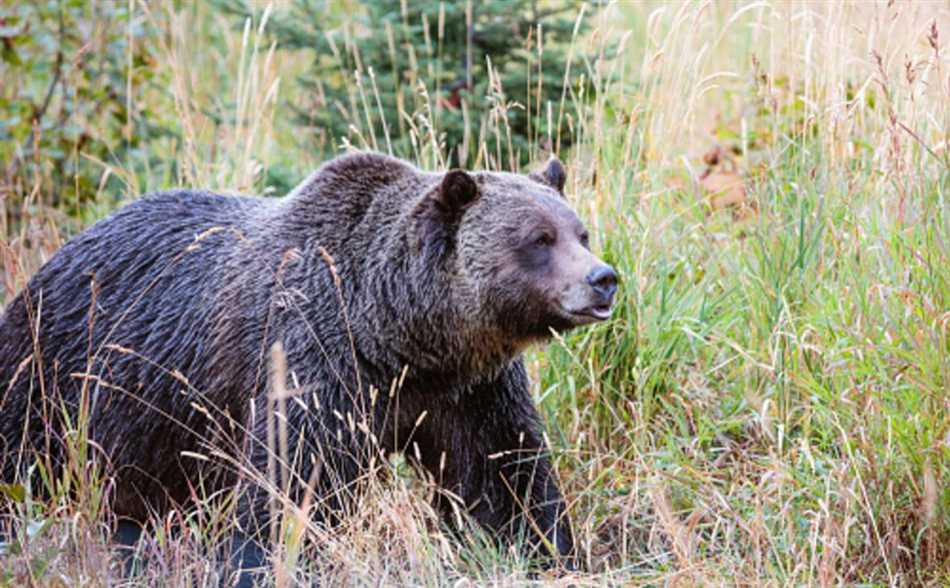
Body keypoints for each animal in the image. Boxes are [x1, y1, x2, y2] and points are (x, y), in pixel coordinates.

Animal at [0, 152, 616, 576]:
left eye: (580, 231)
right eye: (539, 238)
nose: (603, 278)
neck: (397, 336)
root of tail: (62, 249)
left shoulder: (468, 388)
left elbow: (502, 471)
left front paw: (545, 548)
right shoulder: (312, 356)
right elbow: (290, 478)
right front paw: (260, 561)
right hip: (63, 372)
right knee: (23, 458)